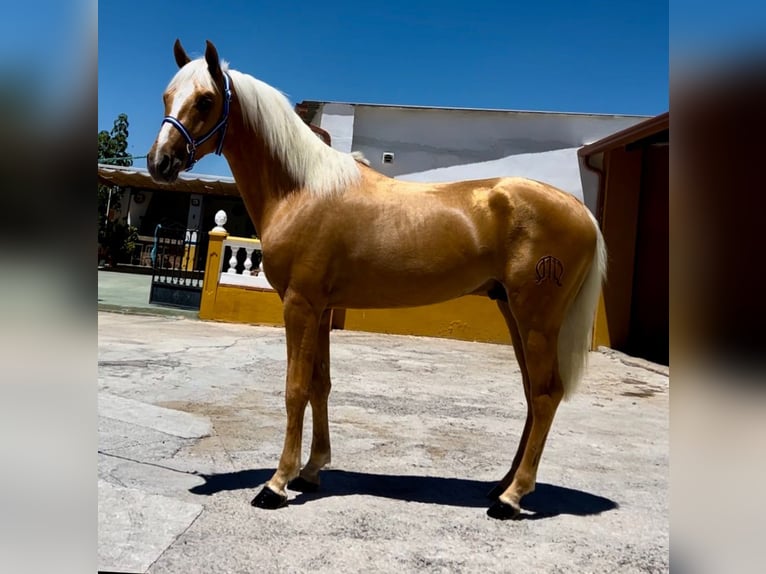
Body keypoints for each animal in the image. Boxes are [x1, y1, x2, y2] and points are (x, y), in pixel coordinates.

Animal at [148, 38, 608, 520]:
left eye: (205, 100)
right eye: (166, 96)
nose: (160, 162)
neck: (302, 189)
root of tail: (582, 213)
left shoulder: (300, 305)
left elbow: (295, 388)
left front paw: (276, 484)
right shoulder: (322, 308)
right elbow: (320, 385)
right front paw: (311, 471)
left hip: (536, 319)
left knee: (546, 394)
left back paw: (513, 497)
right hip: (514, 314)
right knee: (532, 394)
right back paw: (501, 486)